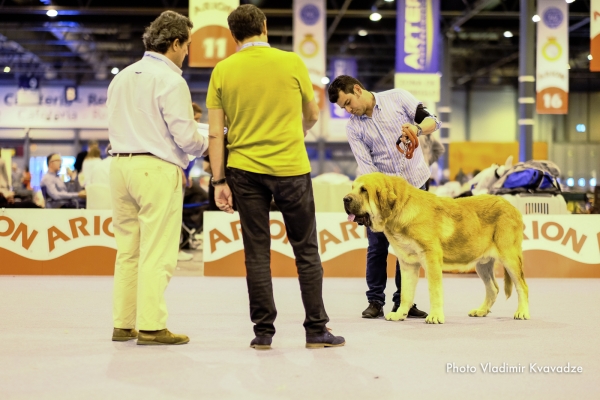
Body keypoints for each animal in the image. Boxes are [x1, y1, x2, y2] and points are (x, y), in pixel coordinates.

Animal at [342, 173, 528, 324]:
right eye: (352, 188)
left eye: (364, 190)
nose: (345, 199)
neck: (399, 210)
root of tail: (512, 207)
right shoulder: (407, 263)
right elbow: (405, 293)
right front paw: (400, 314)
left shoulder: (431, 258)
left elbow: (434, 290)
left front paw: (435, 316)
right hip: (482, 264)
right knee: (493, 288)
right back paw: (481, 311)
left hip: (510, 258)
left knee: (522, 286)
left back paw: (522, 312)